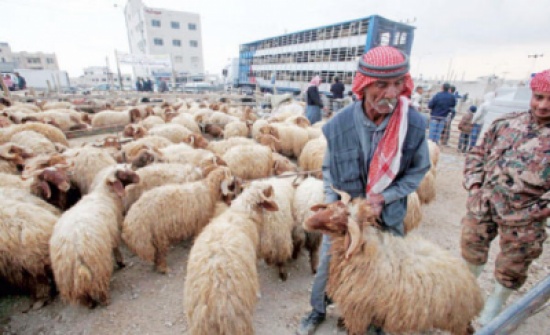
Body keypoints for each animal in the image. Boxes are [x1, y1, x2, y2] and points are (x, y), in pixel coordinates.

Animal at [49, 164, 140, 308]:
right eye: (123, 175)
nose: (138, 177)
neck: (105, 194)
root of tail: (74, 249)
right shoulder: (114, 231)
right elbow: (116, 248)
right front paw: (121, 262)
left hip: (69, 276)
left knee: (82, 293)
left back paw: (90, 303)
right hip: (97, 263)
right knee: (99, 284)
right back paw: (104, 299)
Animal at [306, 192, 484, 335]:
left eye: (335, 221)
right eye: (331, 207)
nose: (307, 222)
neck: (364, 252)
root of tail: (473, 287)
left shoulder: (358, 310)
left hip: (456, 319)